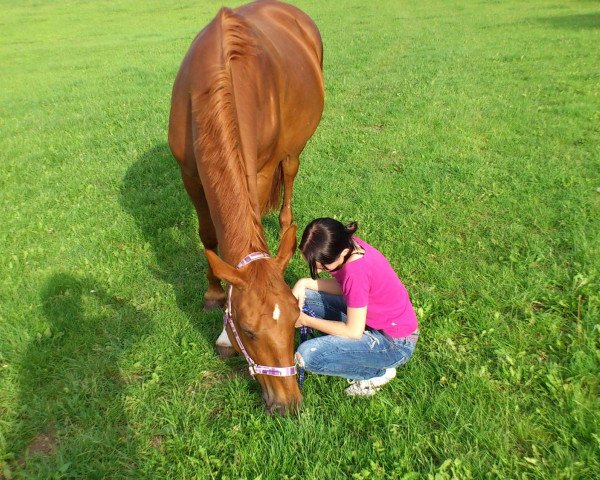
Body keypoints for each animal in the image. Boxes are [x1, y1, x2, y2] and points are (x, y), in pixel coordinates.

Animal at [166, 0, 324, 414]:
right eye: (249, 331)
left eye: (295, 319)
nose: (288, 404)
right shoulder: (189, 173)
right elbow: (208, 236)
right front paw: (213, 294)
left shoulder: (261, 167)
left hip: (292, 152)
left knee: (289, 180)